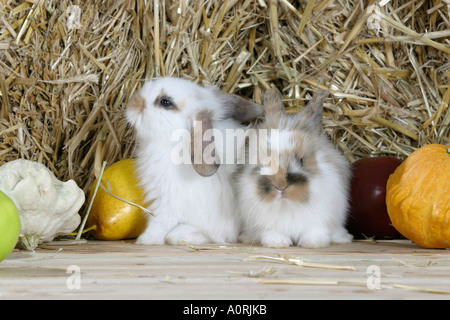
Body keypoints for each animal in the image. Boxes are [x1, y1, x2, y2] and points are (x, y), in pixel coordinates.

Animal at [234, 89, 354, 249]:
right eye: (263, 162)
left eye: (301, 160)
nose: (280, 186)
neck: (287, 205)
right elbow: (273, 233)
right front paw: (278, 243)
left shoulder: (320, 218)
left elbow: (315, 231)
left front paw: (313, 243)